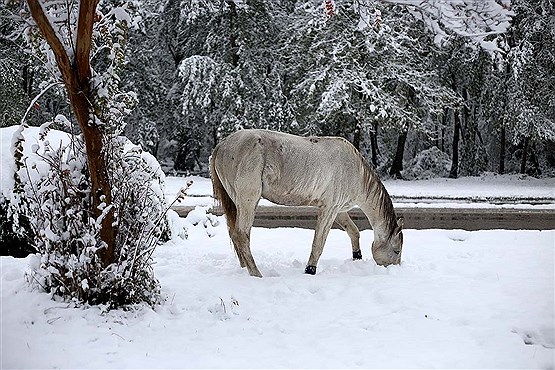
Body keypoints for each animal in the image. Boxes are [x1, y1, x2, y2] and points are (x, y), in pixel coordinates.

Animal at [210, 129, 404, 276]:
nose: (395, 269)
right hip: (248, 201)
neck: (355, 172)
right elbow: (318, 243)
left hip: (237, 203)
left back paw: (244, 267)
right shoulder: (329, 209)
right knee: (241, 235)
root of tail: (221, 146)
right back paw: (256, 273)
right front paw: (310, 270)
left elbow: (354, 232)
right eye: (396, 251)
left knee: (235, 234)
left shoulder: (339, 211)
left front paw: (357, 257)